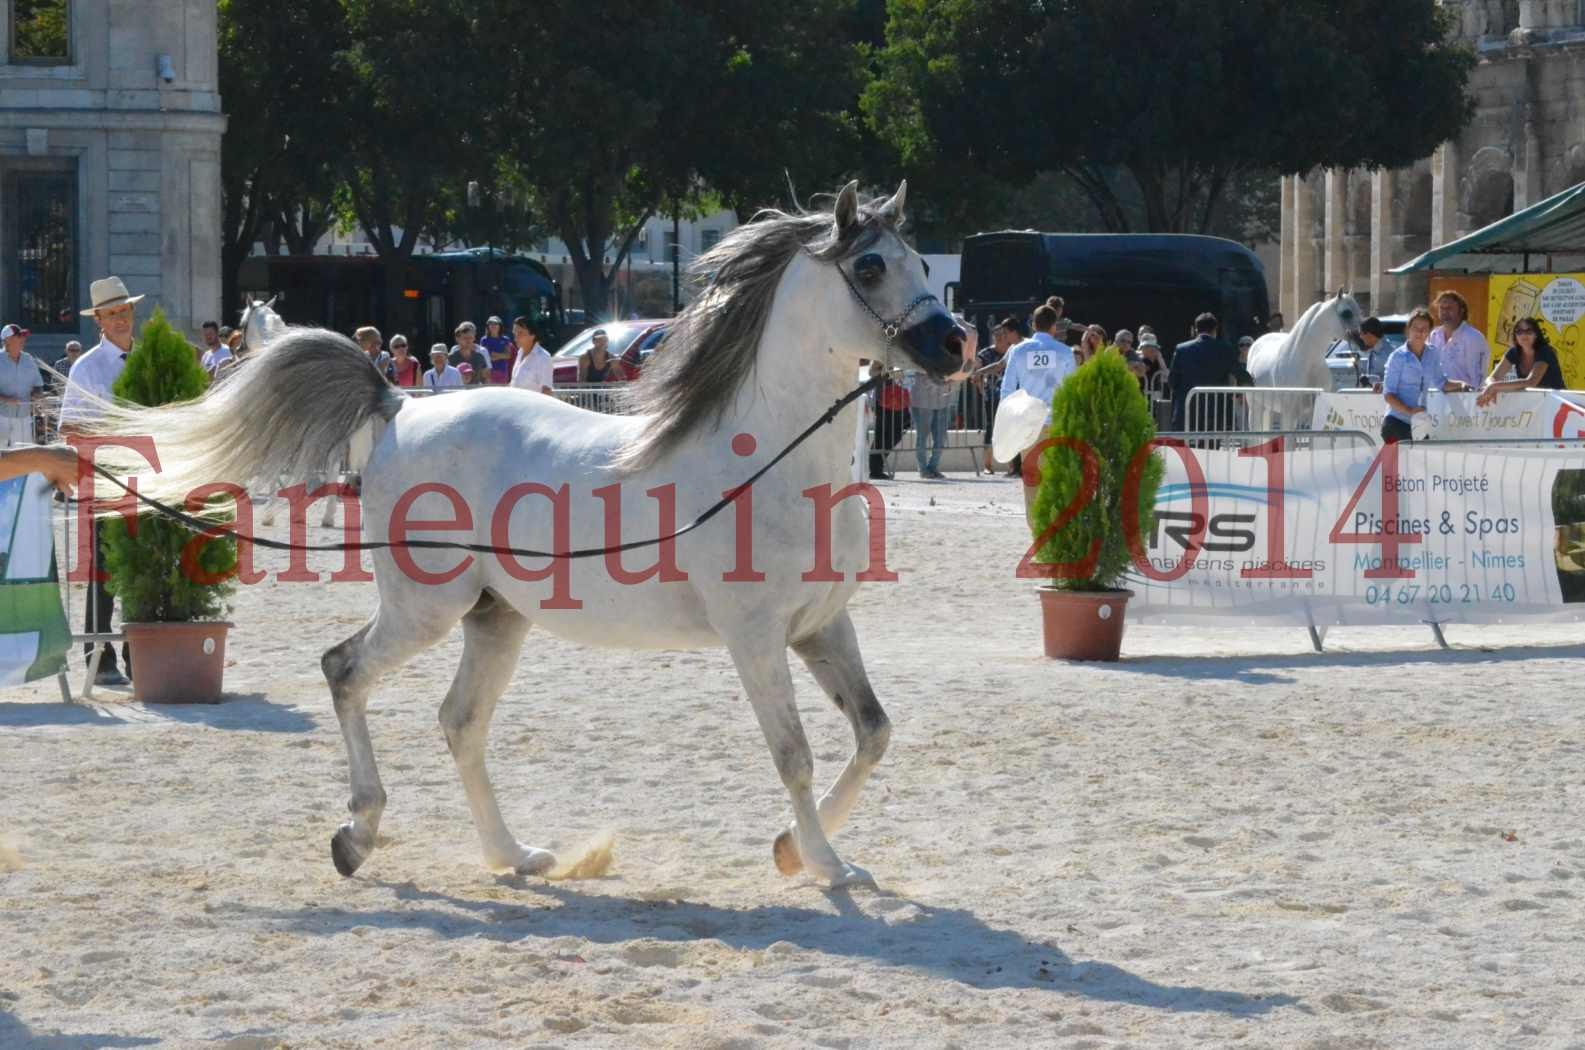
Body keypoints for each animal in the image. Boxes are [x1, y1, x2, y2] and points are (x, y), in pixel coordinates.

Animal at [92, 180, 957, 888]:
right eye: (870, 268)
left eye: (920, 260)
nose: (956, 346)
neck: (770, 461)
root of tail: (396, 406)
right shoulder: (754, 638)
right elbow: (795, 755)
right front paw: (825, 865)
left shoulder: (820, 627)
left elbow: (873, 732)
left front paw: (795, 851)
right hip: (425, 609)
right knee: (345, 671)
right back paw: (357, 836)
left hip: (495, 617)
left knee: (459, 722)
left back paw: (513, 855)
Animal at [1242, 290, 1369, 431]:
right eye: (1346, 313)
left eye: (1360, 312)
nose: (1363, 342)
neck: (1307, 362)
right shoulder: (1290, 414)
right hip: (1256, 407)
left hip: (1269, 408)